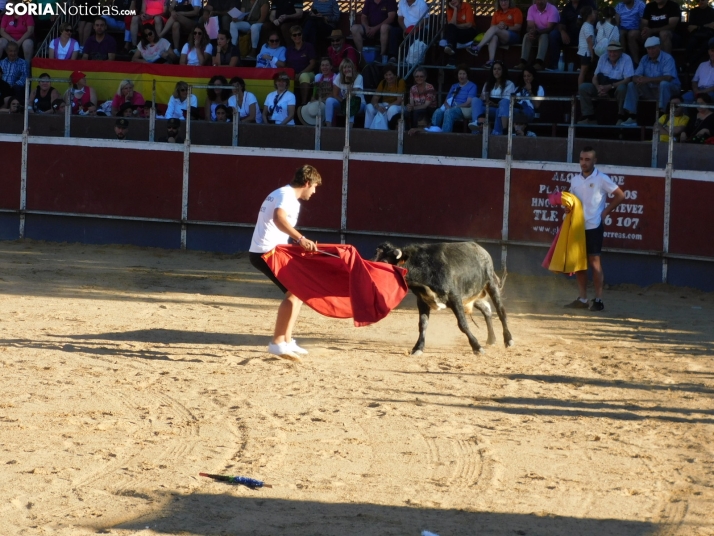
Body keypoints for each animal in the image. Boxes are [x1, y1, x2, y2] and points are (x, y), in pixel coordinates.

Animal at [372, 243, 512, 356]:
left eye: (385, 263)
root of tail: (481, 249)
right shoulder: (422, 300)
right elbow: (423, 324)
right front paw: (418, 348)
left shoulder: (455, 297)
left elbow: (463, 324)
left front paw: (477, 347)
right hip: (471, 295)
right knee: (487, 309)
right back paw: (491, 339)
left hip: (491, 284)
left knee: (501, 312)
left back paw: (508, 340)